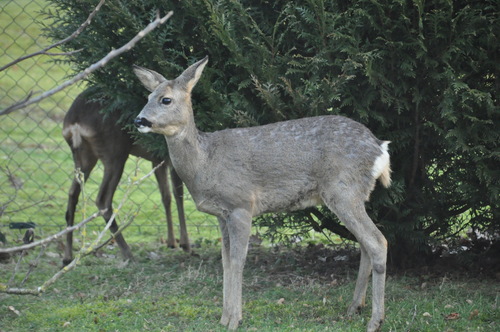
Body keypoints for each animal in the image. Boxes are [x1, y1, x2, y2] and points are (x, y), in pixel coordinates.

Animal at [61, 91, 189, 268]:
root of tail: (74, 121)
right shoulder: (171, 158)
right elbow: (178, 194)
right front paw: (185, 243)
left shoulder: (157, 160)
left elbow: (166, 196)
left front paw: (172, 242)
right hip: (114, 152)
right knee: (102, 200)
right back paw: (128, 254)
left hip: (83, 157)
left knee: (73, 194)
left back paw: (67, 257)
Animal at [133, 57, 390, 332]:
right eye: (148, 96)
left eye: (166, 99)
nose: (139, 120)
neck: (206, 163)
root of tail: (380, 148)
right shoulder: (221, 215)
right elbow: (225, 262)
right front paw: (223, 318)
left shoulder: (241, 205)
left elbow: (238, 261)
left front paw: (234, 320)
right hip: (354, 195)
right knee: (364, 243)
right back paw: (354, 308)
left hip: (343, 190)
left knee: (378, 241)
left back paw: (375, 320)